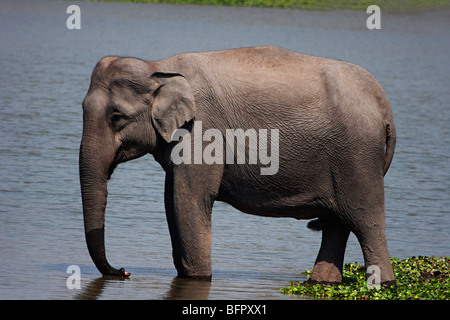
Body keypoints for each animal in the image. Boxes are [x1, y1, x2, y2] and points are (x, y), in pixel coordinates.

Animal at [79, 44, 396, 284]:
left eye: (117, 117)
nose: (124, 271)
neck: (157, 66)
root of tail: (383, 102)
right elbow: (172, 201)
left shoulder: (202, 130)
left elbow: (189, 199)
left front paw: (198, 279)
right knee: (336, 222)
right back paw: (320, 283)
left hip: (358, 155)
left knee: (365, 219)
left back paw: (383, 284)